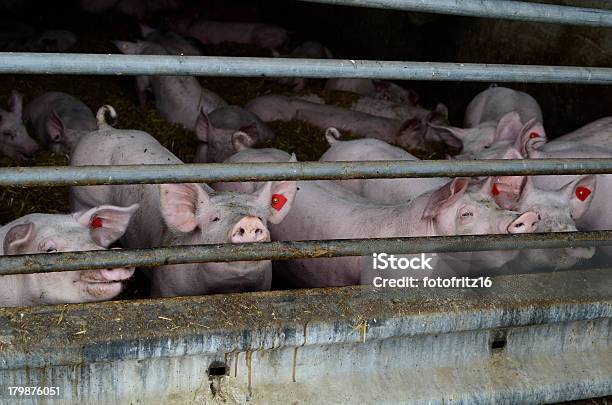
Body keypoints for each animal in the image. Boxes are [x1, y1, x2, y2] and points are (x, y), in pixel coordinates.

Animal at [70, 105, 298, 296]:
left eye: (261, 218)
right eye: (215, 219)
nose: (249, 221)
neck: (225, 287)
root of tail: (104, 128)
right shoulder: (165, 287)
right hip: (82, 197)